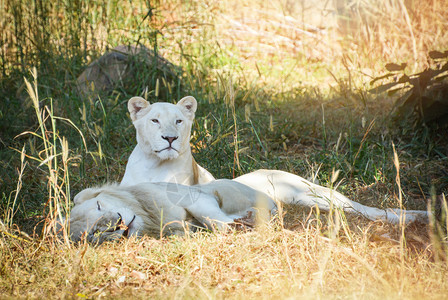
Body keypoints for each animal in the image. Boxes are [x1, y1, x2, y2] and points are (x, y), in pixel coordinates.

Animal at [120, 95, 430, 224]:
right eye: (155, 120)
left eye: (179, 121)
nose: (170, 139)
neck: (155, 165)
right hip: (309, 202)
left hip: (320, 195)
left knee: (368, 210)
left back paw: (419, 217)